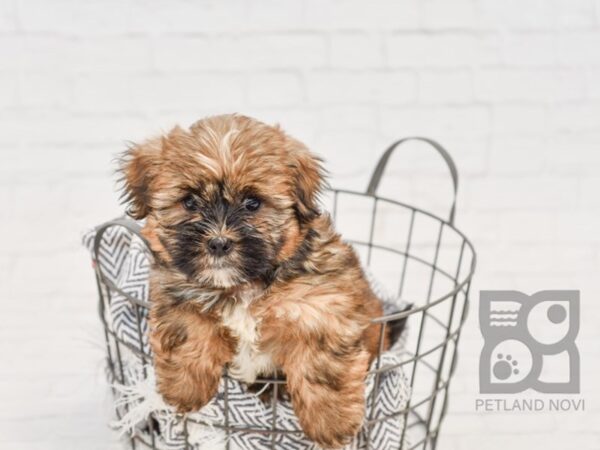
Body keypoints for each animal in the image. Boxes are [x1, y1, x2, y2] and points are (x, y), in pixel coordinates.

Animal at [119, 114, 386, 448]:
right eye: (189, 202)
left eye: (252, 203)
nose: (219, 243)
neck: (244, 286)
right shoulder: (177, 290)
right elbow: (188, 332)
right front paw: (185, 389)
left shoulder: (321, 309)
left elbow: (322, 366)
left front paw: (331, 423)